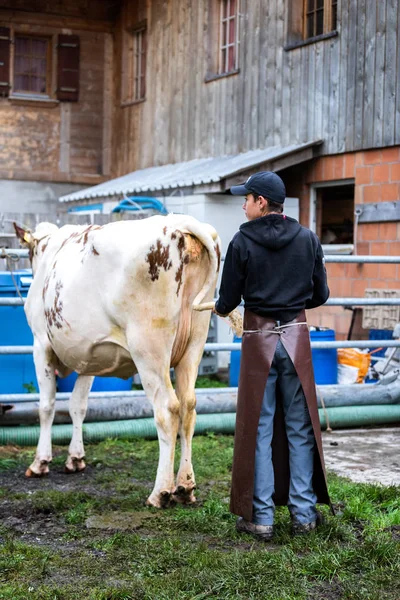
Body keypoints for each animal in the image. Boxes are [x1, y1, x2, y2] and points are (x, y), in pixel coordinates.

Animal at [14, 214, 222, 506]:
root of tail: (181, 223)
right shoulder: (88, 355)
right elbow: (78, 405)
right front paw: (75, 459)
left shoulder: (41, 344)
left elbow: (46, 406)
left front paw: (39, 462)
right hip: (195, 342)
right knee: (188, 406)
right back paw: (185, 486)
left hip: (149, 347)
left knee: (167, 409)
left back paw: (160, 492)